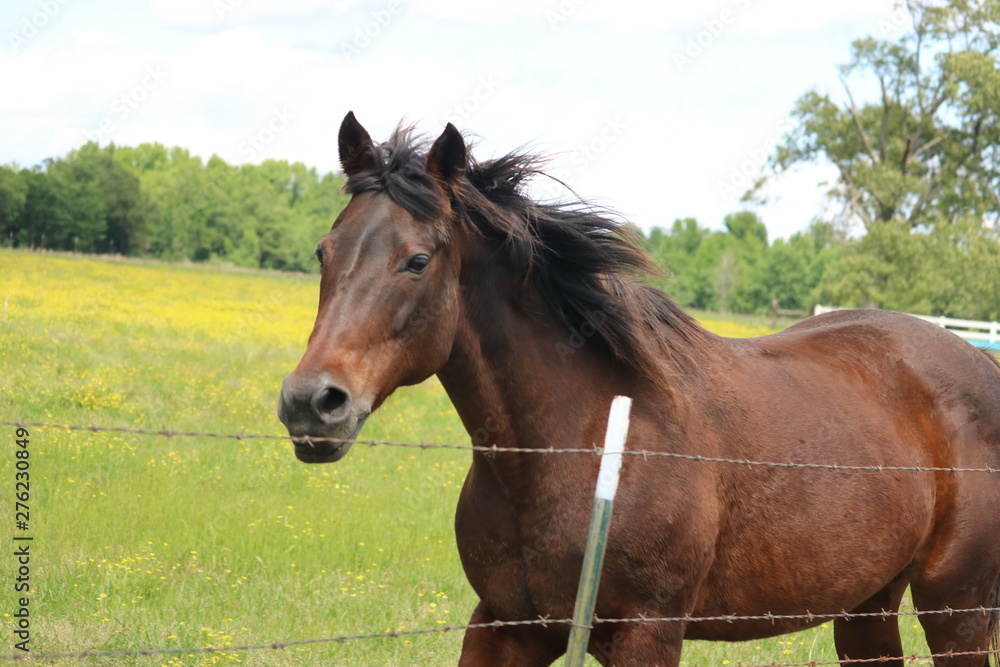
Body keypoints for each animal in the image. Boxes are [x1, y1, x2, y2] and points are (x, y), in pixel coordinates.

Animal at [277, 111, 1000, 667]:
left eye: (418, 260)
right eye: (323, 250)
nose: (311, 402)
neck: (576, 442)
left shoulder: (646, 632)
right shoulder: (504, 625)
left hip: (955, 607)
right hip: (867, 606)